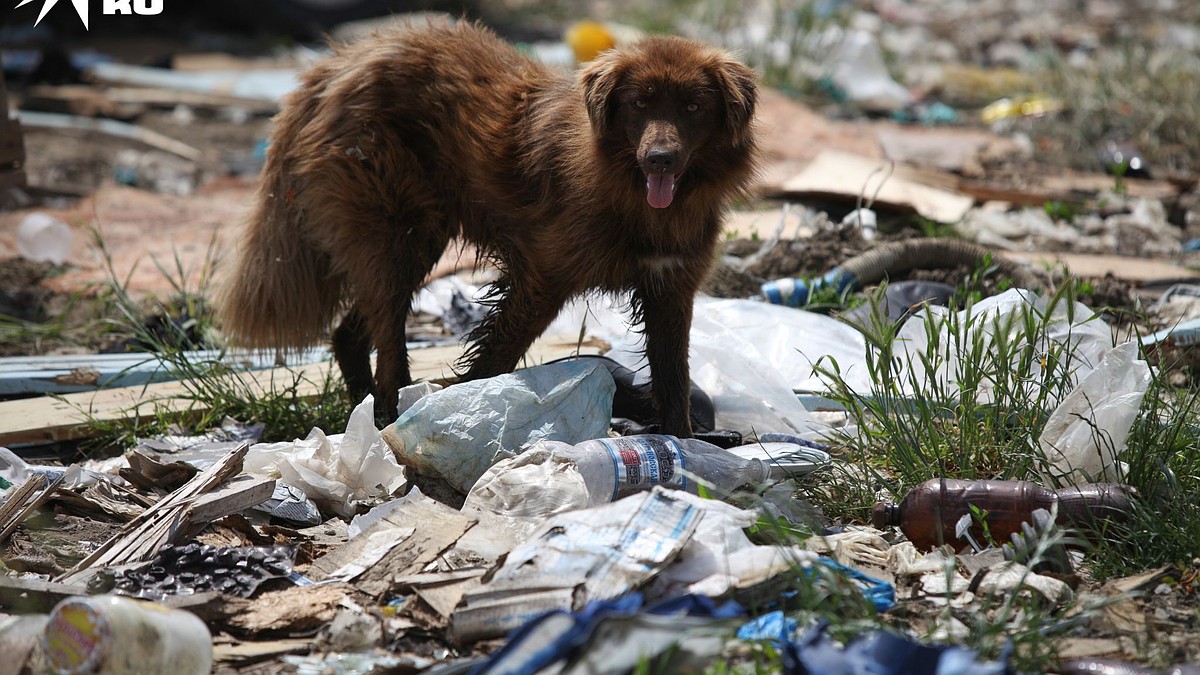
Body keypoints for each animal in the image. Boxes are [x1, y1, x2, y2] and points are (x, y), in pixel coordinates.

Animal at [220, 21, 753, 432]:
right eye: (639, 103)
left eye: (693, 107)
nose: (660, 159)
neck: (637, 198)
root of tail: (337, 62)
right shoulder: (540, 281)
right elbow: (495, 356)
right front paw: (463, 412)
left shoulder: (670, 289)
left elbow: (673, 379)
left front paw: (684, 446)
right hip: (400, 235)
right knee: (387, 343)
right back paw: (388, 417)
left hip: (406, 242)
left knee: (349, 334)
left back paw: (367, 412)